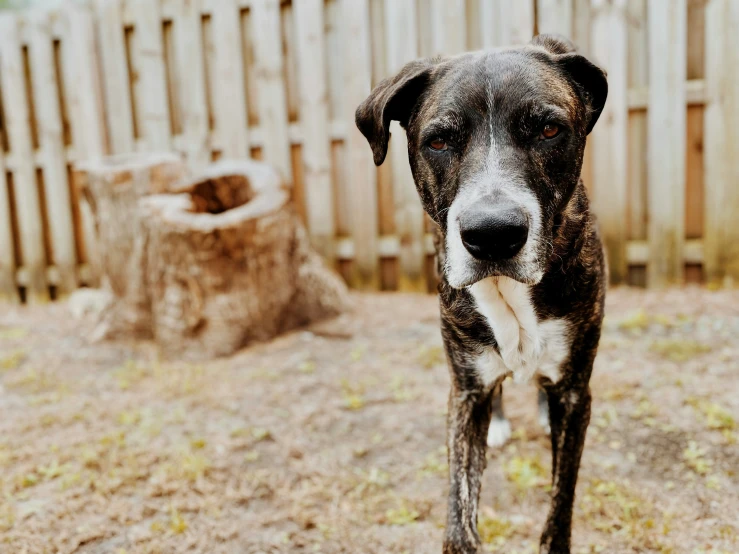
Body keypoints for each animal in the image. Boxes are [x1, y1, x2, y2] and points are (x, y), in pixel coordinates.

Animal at [356, 35, 608, 552]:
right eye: (439, 141)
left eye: (549, 130)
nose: (492, 234)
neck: (507, 288)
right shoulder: (464, 392)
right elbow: (460, 513)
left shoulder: (577, 393)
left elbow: (561, 501)